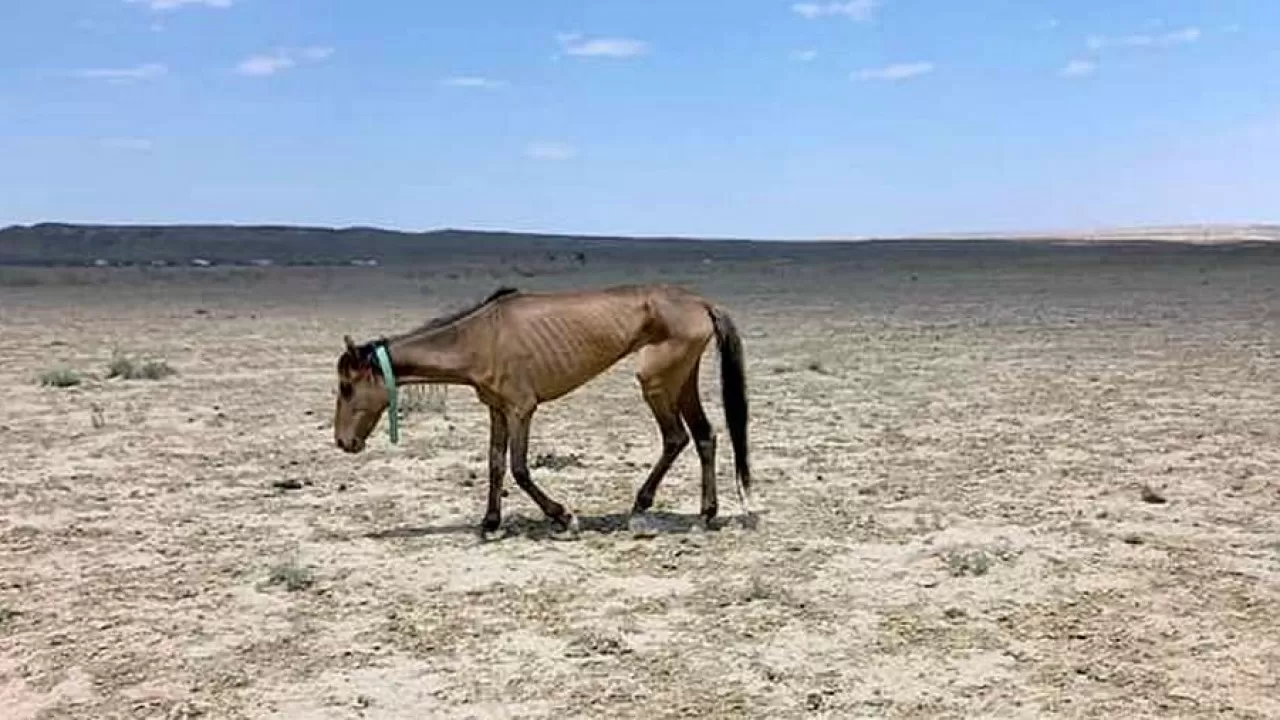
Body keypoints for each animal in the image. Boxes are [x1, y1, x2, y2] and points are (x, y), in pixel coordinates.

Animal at [332, 280, 747, 532]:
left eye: (346, 387)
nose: (342, 442)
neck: (480, 337)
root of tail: (701, 302)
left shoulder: (521, 410)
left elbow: (519, 469)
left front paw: (563, 515)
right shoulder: (497, 410)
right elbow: (496, 464)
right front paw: (490, 521)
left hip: (657, 382)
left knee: (677, 437)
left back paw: (651, 506)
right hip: (681, 380)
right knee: (703, 436)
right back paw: (703, 513)